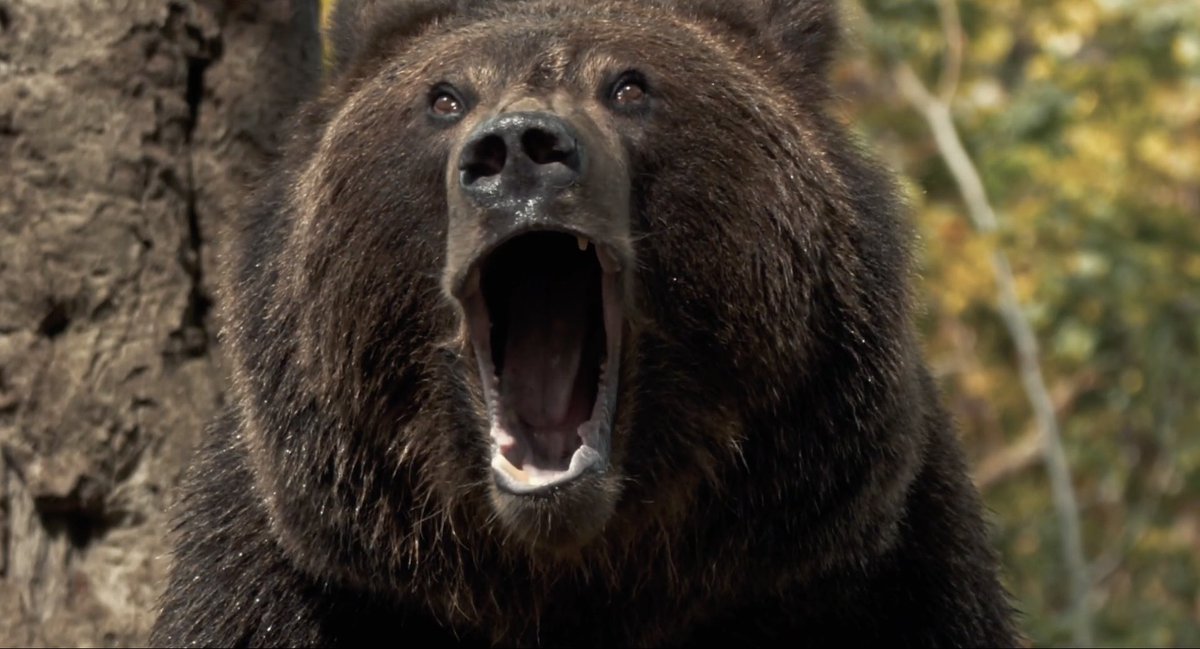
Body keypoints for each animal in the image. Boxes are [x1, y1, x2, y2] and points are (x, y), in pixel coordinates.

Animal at [151, 0, 1020, 646]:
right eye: (444, 97)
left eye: (630, 86)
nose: (517, 152)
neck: (575, 576)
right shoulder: (295, 584)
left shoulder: (886, 574)